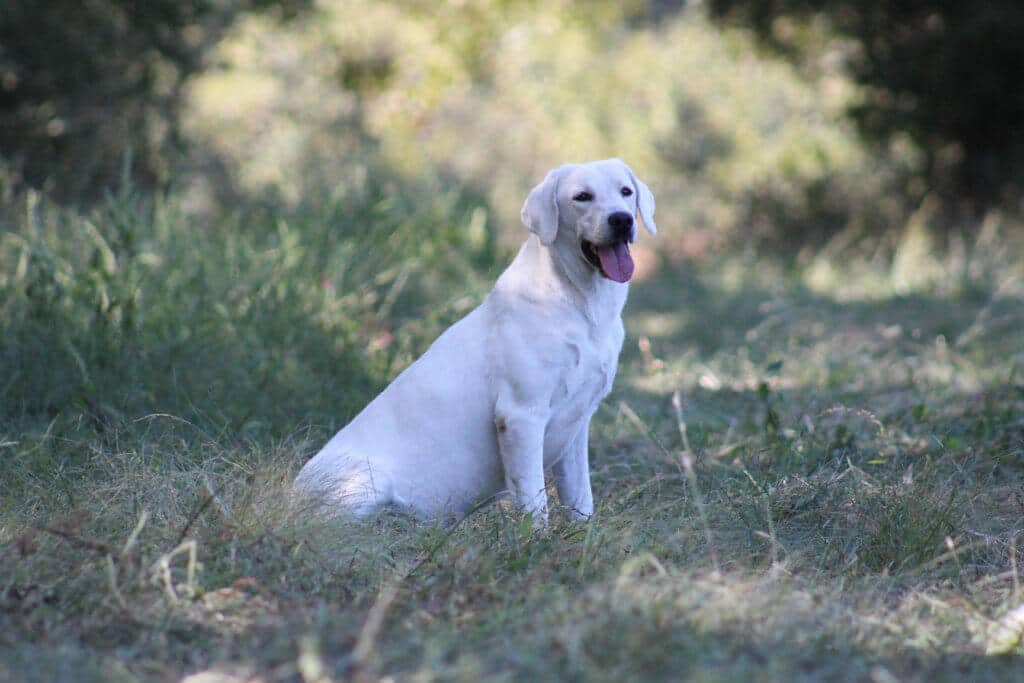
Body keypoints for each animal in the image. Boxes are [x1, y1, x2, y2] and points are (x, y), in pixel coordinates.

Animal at [292, 160, 655, 524]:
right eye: (582, 197)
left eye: (626, 192)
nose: (621, 219)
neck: (581, 304)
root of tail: (290, 492)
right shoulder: (520, 416)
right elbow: (534, 503)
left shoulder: (578, 425)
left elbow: (580, 496)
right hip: (369, 484)